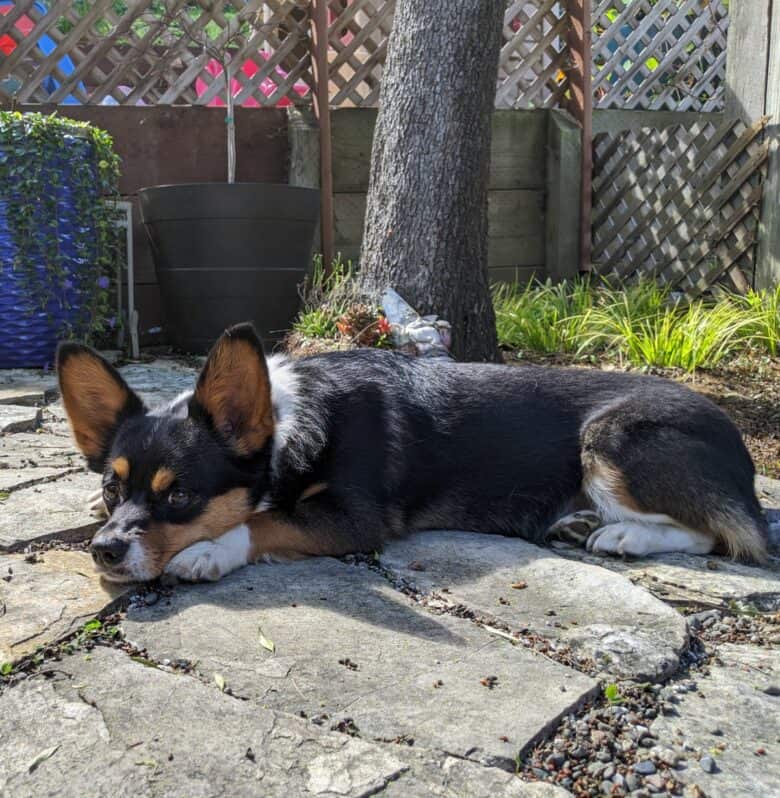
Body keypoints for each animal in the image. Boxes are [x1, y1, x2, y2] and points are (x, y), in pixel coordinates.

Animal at [56, 322, 768, 584]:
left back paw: (624, 537)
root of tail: (738, 442)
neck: (289, 428)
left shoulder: (354, 520)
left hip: (612, 439)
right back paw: (582, 523)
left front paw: (208, 551)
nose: (105, 552)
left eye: (180, 494)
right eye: (114, 489)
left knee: (725, 536)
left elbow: (263, 520)